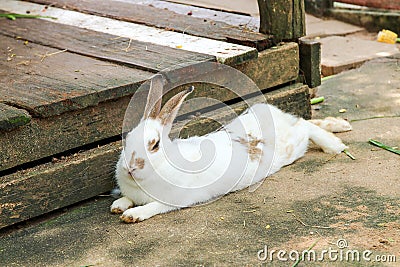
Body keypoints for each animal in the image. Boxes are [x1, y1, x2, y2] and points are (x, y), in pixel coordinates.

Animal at [111, 74, 352, 223]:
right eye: (127, 139)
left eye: (155, 145)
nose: (130, 168)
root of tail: (275, 115)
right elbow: (126, 199)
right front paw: (117, 205)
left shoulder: (174, 200)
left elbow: (152, 207)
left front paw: (132, 215)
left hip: (295, 145)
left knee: (305, 125)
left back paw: (334, 145)